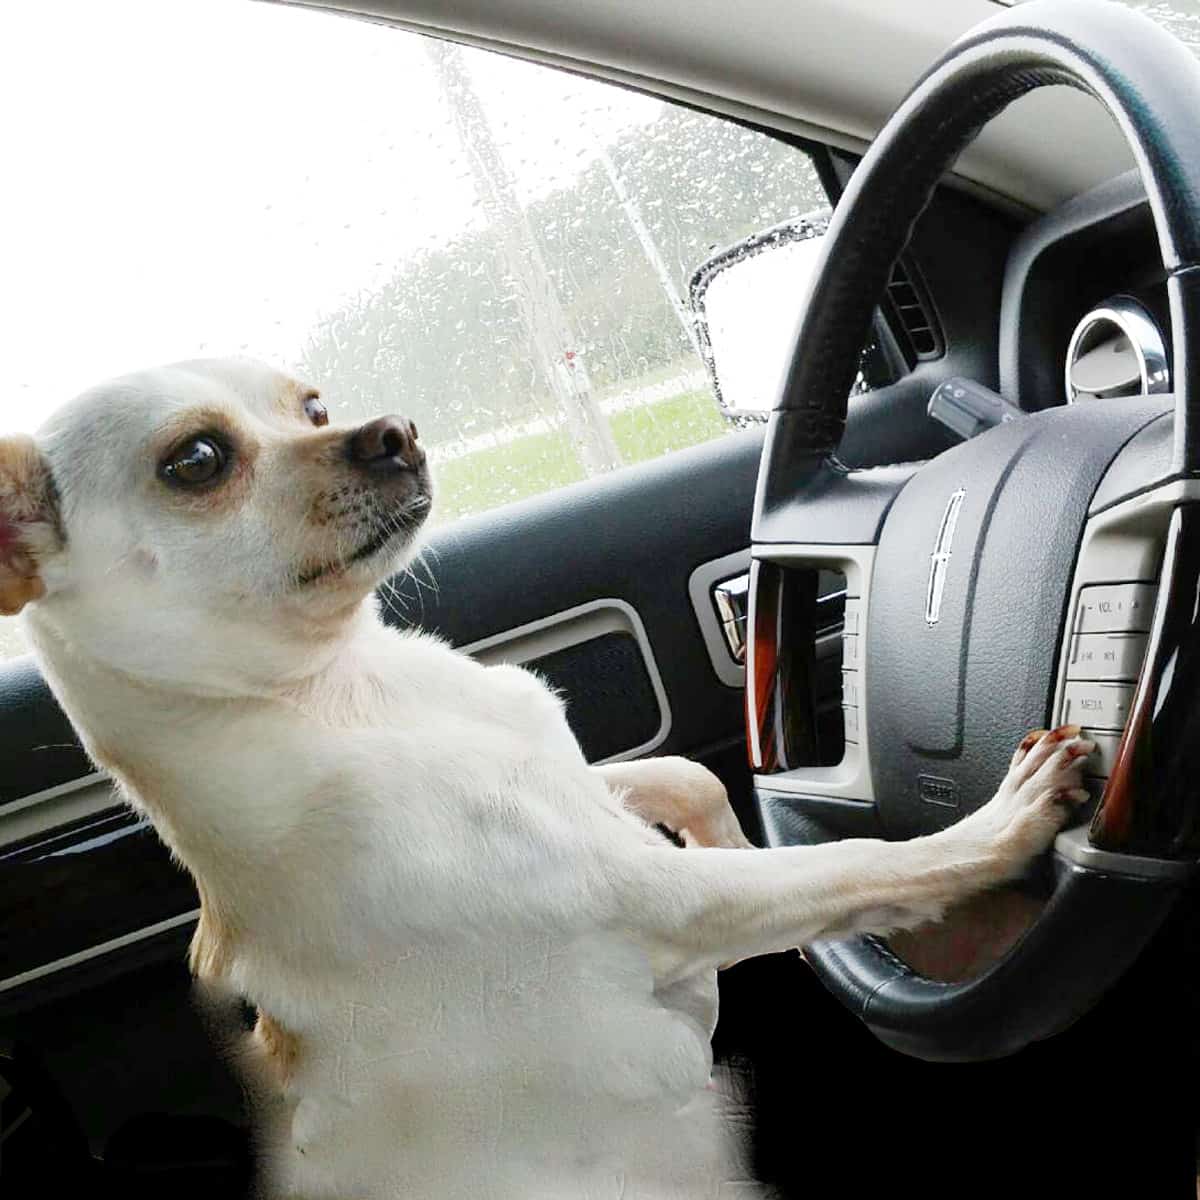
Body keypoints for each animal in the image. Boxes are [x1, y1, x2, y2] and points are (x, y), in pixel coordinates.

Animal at [0, 360, 1089, 1195]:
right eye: (196, 461)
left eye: (311, 406)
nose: (394, 431)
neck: (349, 694)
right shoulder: (681, 908)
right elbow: (859, 866)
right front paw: (1003, 827)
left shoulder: (588, 785)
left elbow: (688, 778)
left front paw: (747, 825)